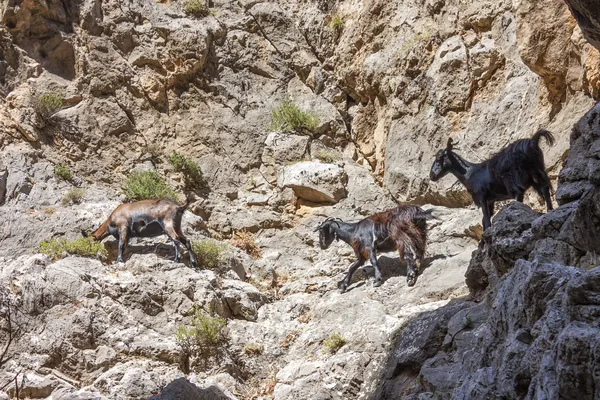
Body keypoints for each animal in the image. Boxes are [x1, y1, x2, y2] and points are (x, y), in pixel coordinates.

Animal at [428, 128, 556, 228]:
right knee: (544, 188)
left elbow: (486, 219)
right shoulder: (491, 200)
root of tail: (533, 141)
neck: (470, 174)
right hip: (537, 171)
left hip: (515, 179)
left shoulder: (482, 197)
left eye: (439, 158)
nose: (432, 175)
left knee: (519, 196)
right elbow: (485, 219)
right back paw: (549, 210)